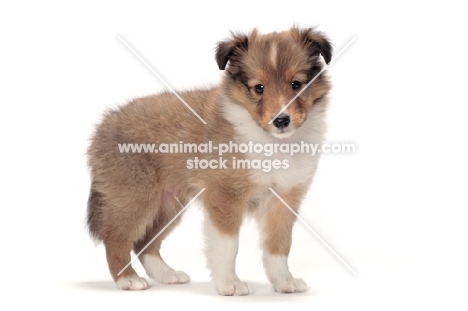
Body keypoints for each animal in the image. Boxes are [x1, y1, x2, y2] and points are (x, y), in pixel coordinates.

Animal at [87, 25, 332, 296]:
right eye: (259, 88)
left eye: (296, 84)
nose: (281, 120)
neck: (272, 141)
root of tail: (103, 125)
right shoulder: (225, 196)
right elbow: (227, 246)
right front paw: (229, 284)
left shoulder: (284, 200)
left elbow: (279, 246)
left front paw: (284, 281)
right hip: (137, 196)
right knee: (115, 236)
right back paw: (128, 279)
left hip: (169, 203)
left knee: (144, 242)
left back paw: (167, 275)